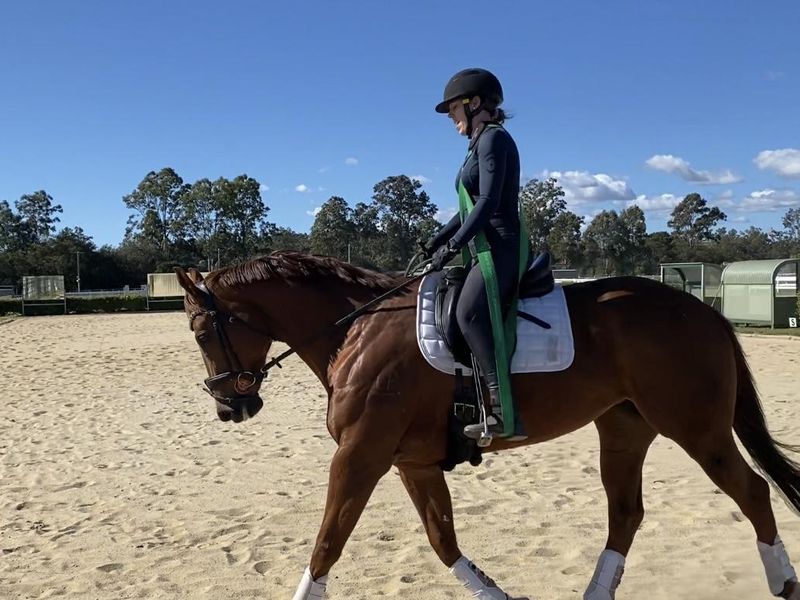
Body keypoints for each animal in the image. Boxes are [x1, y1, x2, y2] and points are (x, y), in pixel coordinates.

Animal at [175, 250, 800, 599]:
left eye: (202, 331)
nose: (229, 408)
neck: (355, 330)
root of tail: (704, 310)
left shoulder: (360, 455)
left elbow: (327, 544)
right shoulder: (411, 462)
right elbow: (443, 541)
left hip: (697, 429)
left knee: (753, 492)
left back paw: (783, 582)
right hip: (624, 429)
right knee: (626, 513)